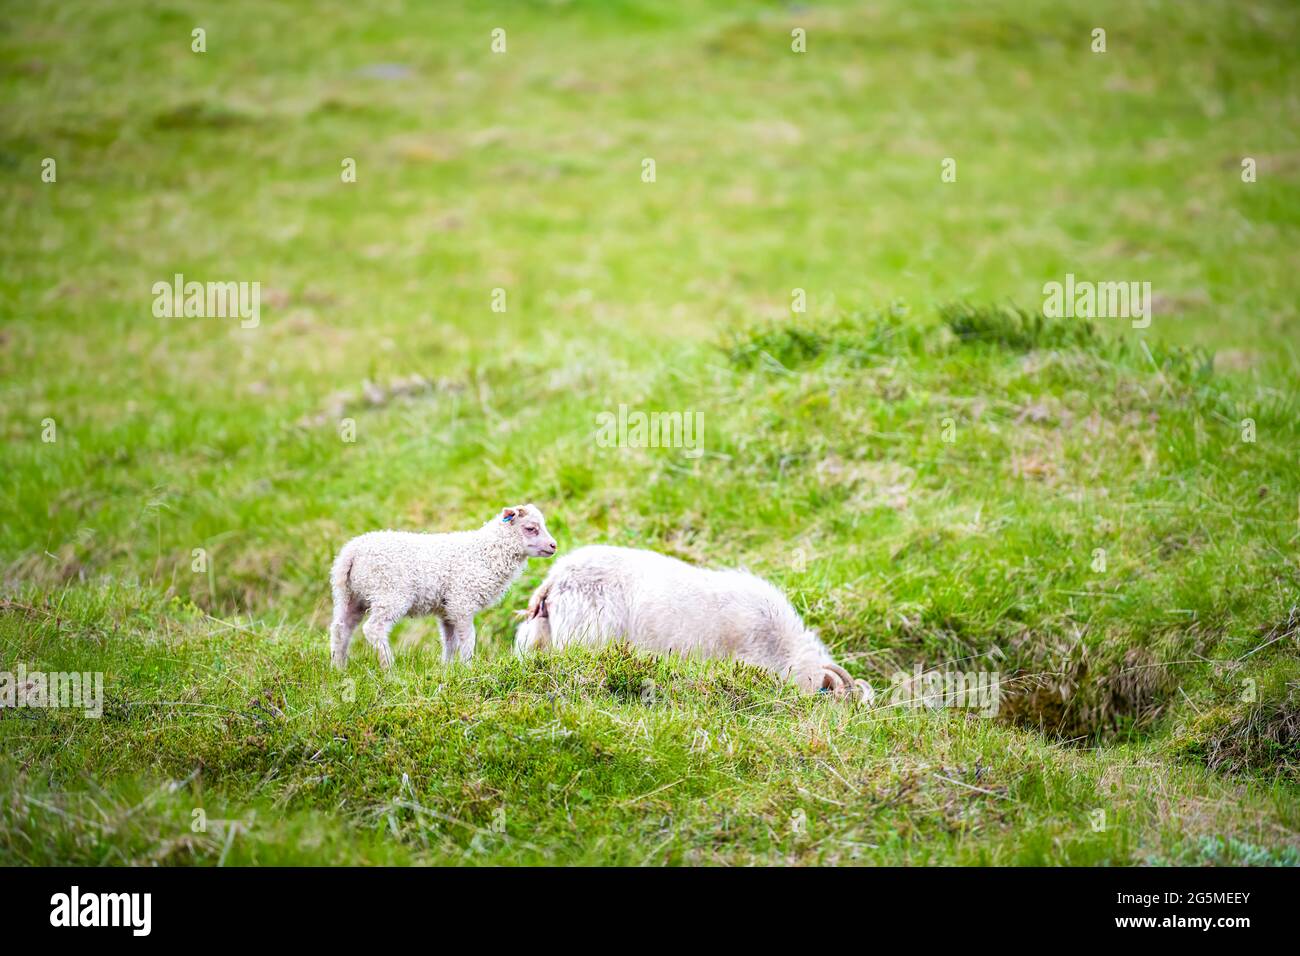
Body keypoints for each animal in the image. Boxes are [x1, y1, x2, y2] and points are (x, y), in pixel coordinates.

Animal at [329, 504, 557, 669]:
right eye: (530, 528)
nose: (554, 545)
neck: (487, 553)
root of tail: (351, 552)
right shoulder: (462, 602)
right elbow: (467, 639)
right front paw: (468, 668)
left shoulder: (447, 609)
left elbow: (450, 642)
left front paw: (446, 669)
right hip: (389, 593)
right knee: (373, 629)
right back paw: (389, 668)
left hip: (352, 595)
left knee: (340, 628)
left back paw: (339, 668)